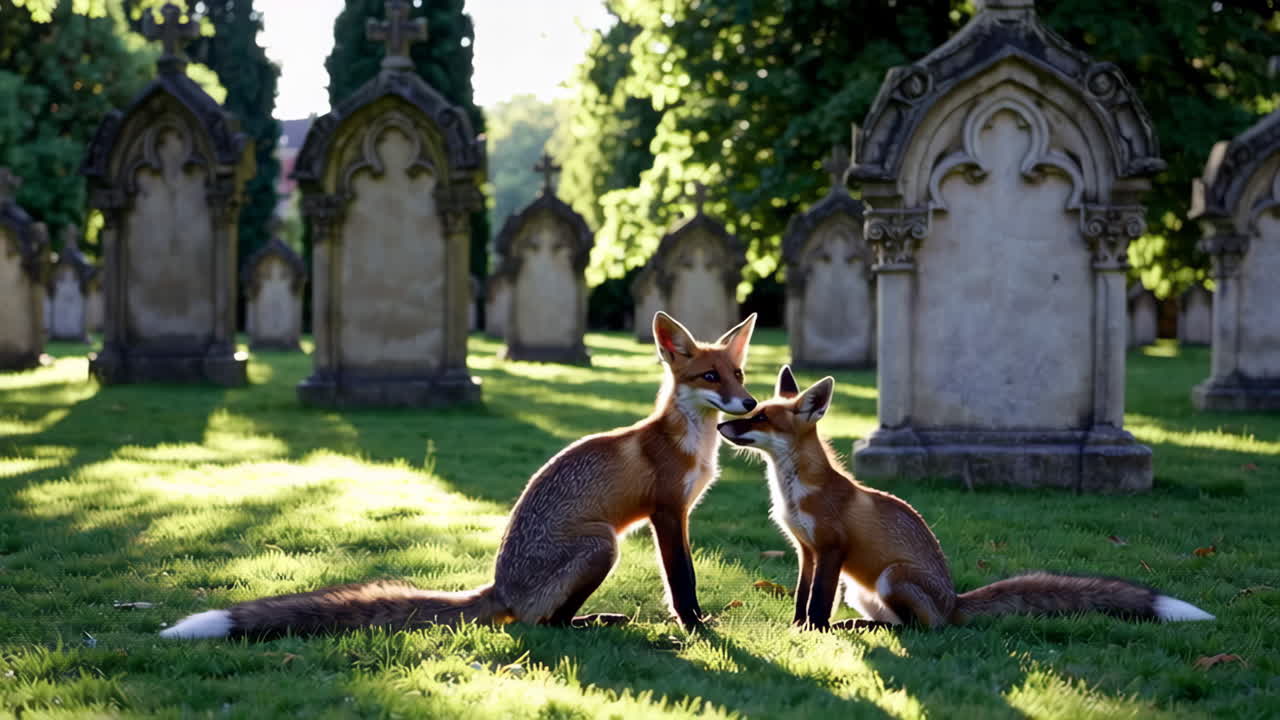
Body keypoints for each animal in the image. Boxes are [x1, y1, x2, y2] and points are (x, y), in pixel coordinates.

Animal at [160, 312, 758, 640]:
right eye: (709, 377)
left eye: (739, 373)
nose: (750, 403)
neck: (691, 446)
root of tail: (499, 586)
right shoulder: (668, 513)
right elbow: (682, 581)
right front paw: (696, 626)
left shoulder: (674, 514)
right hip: (601, 544)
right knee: (541, 624)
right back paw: (589, 623)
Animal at [717, 365, 1215, 631]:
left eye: (760, 417)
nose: (722, 425)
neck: (796, 491)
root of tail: (954, 601)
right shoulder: (806, 550)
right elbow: (802, 597)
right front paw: (798, 628)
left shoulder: (832, 549)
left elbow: (818, 602)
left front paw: (815, 633)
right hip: (861, 590)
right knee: (900, 624)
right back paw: (862, 626)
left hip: (892, 577)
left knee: (923, 628)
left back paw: (859, 629)